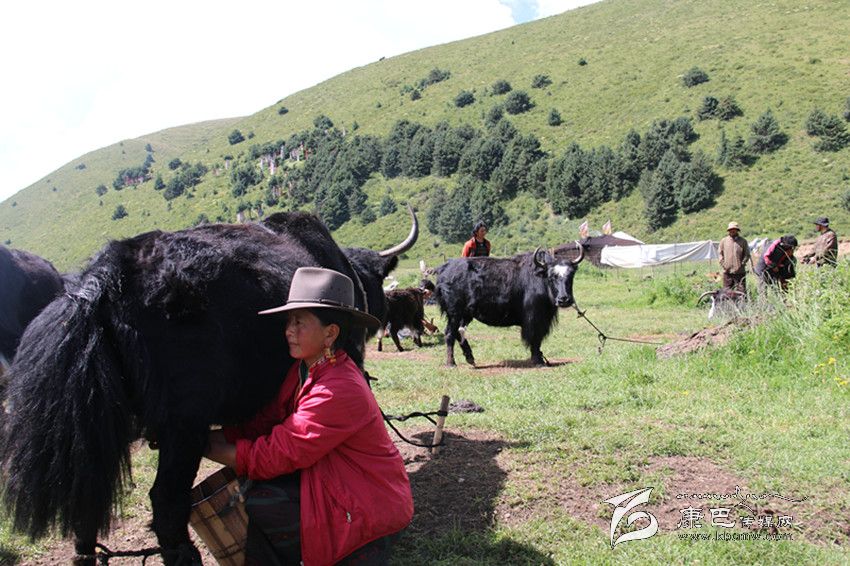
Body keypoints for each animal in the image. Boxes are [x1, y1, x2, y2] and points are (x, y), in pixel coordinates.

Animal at [1, 209, 417, 566]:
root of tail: (100, 283)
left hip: (94, 431)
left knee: (88, 504)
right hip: (183, 425)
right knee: (166, 502)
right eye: (377, 281)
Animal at [434, 244, 584, 367]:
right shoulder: (534, 318)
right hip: (454, 313)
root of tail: (444, 268)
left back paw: (470, 358)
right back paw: (451, 363)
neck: (541, 279)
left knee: (458, 332)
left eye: (571, 276)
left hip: (465, 314)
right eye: (552, 276)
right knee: (449, 333)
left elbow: (538, 339)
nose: (564, 299)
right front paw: (539, 361)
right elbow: (535, 338)